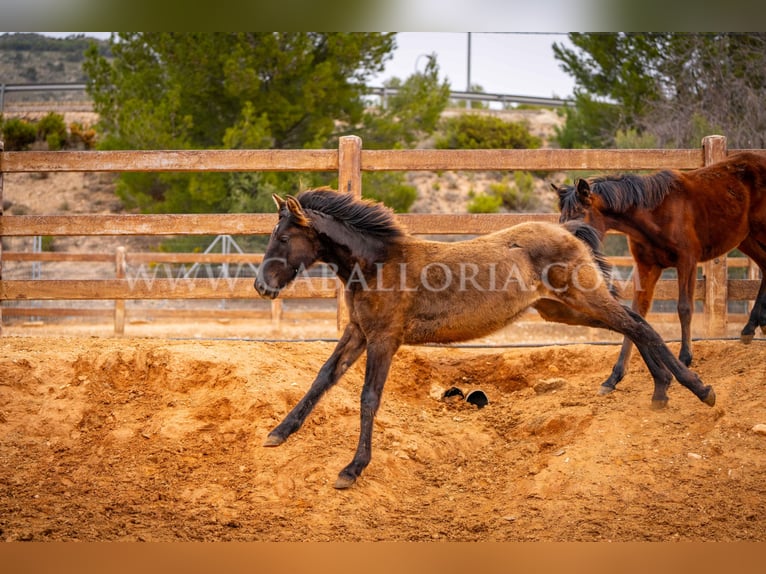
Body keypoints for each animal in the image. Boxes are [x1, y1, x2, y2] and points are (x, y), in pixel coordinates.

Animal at [255, 189, 716, 490]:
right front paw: (279, 432)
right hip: (564, 309)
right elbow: (322, 378)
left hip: (583, 298)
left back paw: (698, 389)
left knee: (639, 325)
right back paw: (662, 388)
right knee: (633, 323)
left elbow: (369, 397)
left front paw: (352, 470)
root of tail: (572, 232)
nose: (261, 286)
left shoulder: (384, 338)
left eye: (283, 238)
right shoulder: (358, 332)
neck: (378, 264)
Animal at [556, 151, 766, 398]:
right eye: (561, 218)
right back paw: (751, 326)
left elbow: (684, 308)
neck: (654, 214)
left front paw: (685, 359)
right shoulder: (647, 267)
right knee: (765, 264)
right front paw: (614, 377)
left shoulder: (687, 261)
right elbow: (637, 313)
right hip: (747, 237)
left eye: (579, 214)